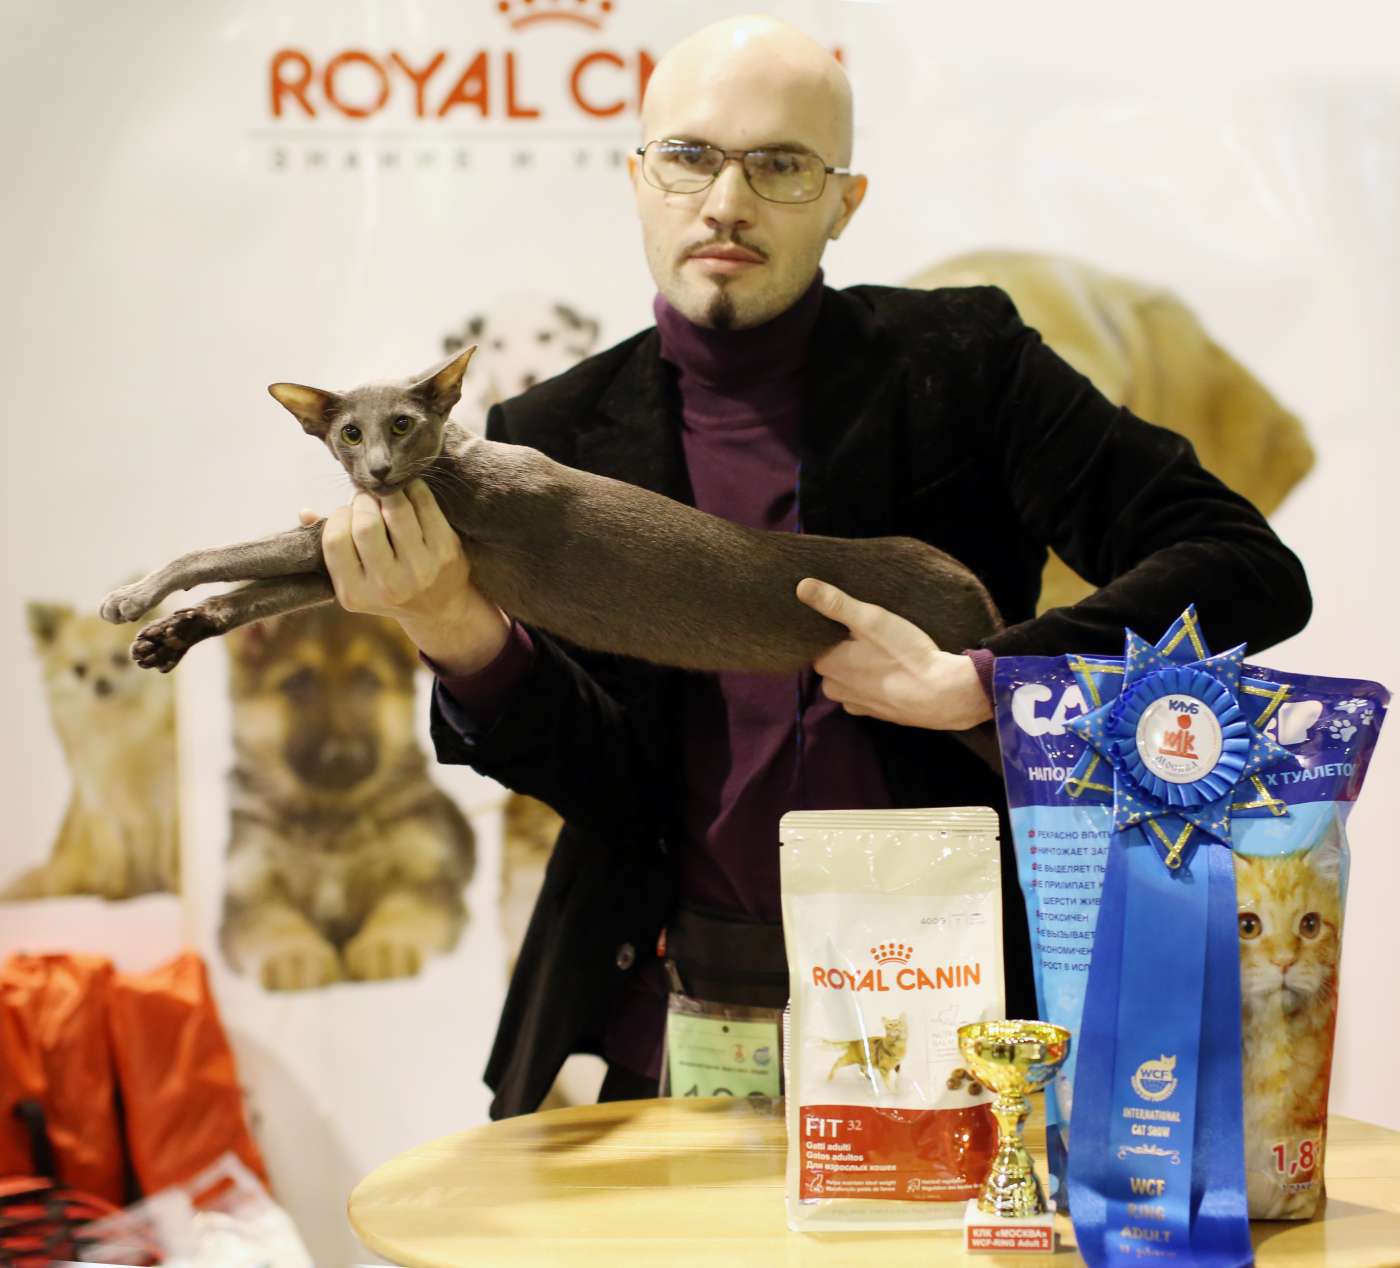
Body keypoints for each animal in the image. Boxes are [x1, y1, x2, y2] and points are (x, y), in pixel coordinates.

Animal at [3, 602, 179, 900]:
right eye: (79, 670)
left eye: (119, 659)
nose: (101, 683)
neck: (116, 724)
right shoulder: (99, 798)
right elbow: (115, 847)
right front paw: (118, 891)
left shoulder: (166, 794)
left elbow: (170, 848)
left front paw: (174, 888)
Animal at [96, 345, 1004, 761]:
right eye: (349, 433)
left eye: (403, 424)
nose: (380, 470)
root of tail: (976, 585)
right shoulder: (343, 556)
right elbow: (248, 591)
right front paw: (164, 636)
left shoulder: (388, 529)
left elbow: (219, 553)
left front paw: (131, 596)